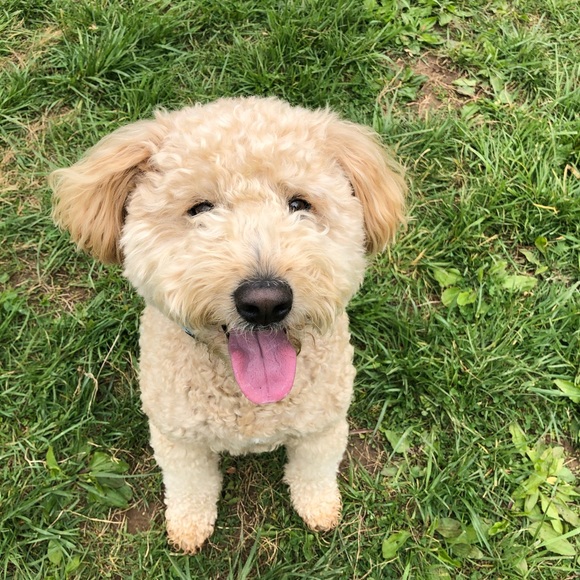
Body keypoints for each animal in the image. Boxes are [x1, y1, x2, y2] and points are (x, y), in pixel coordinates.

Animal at [50, 97, 405, 553]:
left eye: (299, 204)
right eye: (200, 209)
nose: (265, 302)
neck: (248, 401)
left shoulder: (324, 426)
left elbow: (314, 471)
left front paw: (319, 509)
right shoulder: (177, 437)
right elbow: (190, 485)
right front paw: (188, 526)